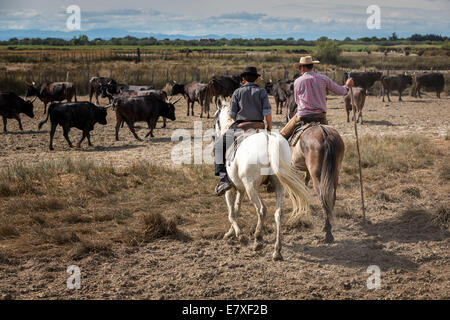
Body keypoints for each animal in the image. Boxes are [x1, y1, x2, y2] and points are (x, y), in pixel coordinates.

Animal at [214, 101, 310, 262]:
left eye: (215, 120)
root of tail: (268, 140)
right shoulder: (241, 189)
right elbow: (236, 209)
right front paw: (231, 232)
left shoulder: (231, 189)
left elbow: (231, 212)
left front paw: (239, 235)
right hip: (278, 186)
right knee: (278, 214)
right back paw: (277, 251)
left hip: (251, 187)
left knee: (262, 210)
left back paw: (258, 240)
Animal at [288, 105, 344, 242]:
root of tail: (325, 134)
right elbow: (304, 181)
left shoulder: (293, 167)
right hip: (334, 173)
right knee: (332, 196)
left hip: (317, 176)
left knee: (322, 197)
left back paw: (328, 232)